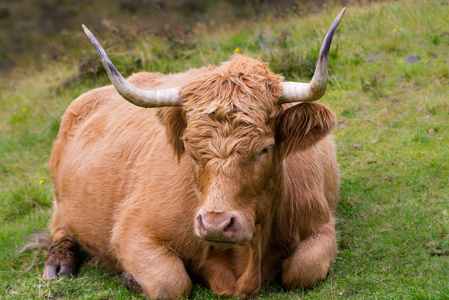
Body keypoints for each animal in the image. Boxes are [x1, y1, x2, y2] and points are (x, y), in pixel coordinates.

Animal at [43, 8, 344, 298]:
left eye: (264, 149)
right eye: (191, 151)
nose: (215, 224)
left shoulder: (321, 225)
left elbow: (301, 271)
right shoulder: (132, 232)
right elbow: (171, 283)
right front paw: (130, 278)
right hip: (60, 197)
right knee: (60, 226)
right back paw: (59, 264)